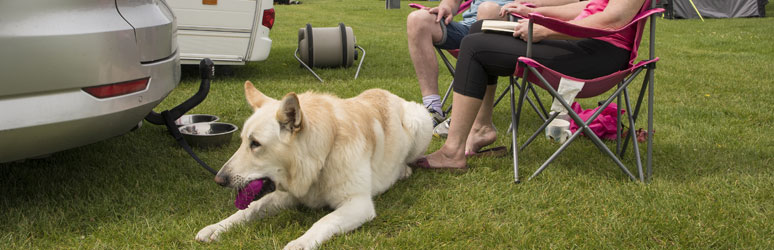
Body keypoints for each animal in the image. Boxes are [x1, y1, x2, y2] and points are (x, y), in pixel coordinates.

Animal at [194, 81, 434, 249]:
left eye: (256, 144)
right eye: (243, 141)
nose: (219, 179)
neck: (323, 156)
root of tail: (389, 94)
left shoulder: (358, 204)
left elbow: (325, 221)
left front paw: (300, 243)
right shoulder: (287, 195)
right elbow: (250, 209)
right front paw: (218, 227)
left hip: (421, 122)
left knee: (412, 158)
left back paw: (403, 170)